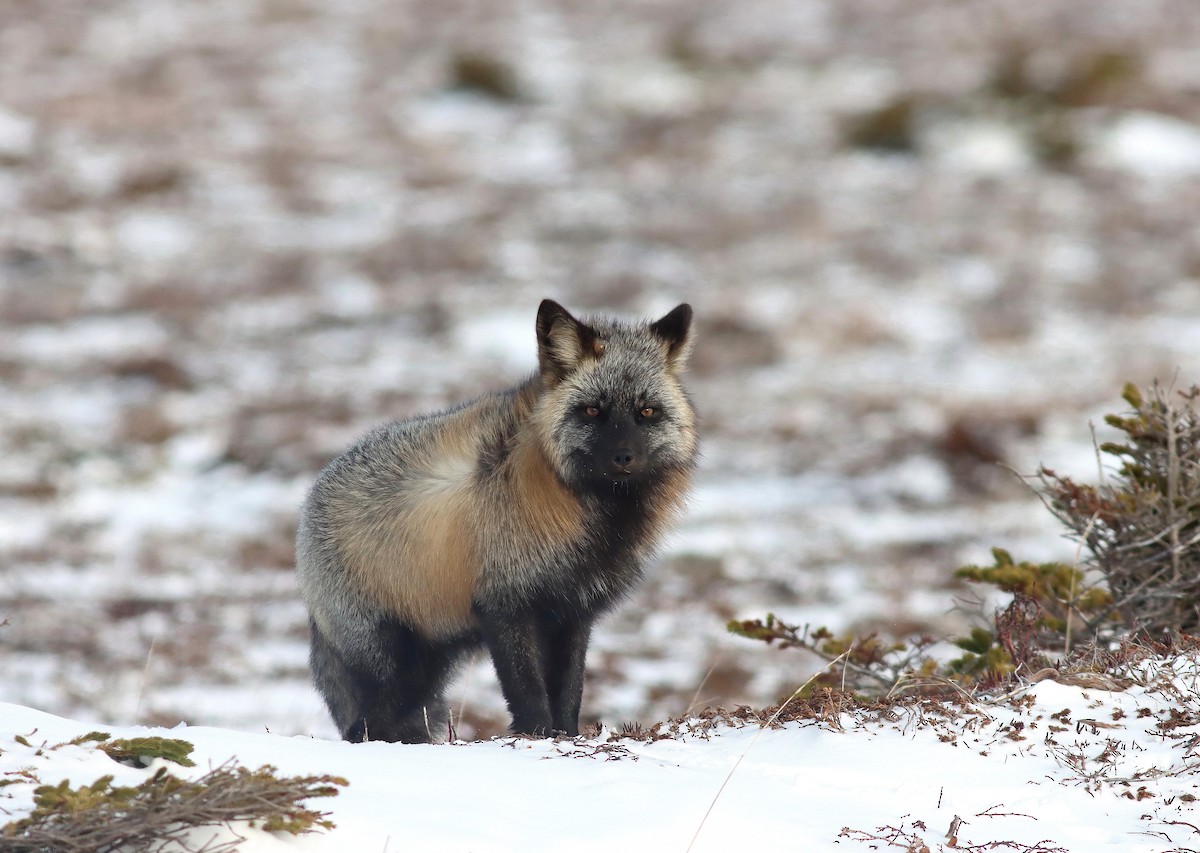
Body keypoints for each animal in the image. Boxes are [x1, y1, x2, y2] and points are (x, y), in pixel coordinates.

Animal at [296, 299, 697, 743]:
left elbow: (569, 692)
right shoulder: (505, 606)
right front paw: (536, 737)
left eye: (647, 412)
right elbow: (528, 694)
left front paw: (566, 736)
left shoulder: (572, 612)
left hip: (429, 668)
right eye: (593, 410)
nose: (624, 457)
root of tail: (310, 502)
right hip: (396, 664)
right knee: (362, 726)